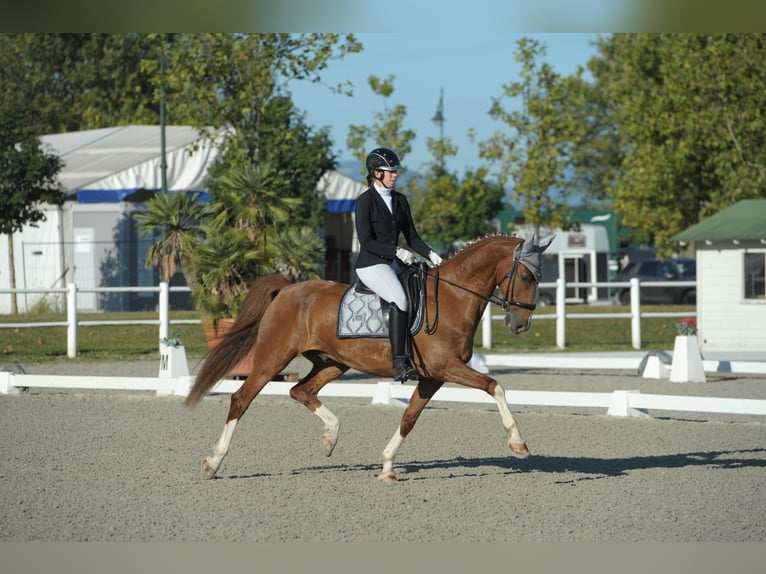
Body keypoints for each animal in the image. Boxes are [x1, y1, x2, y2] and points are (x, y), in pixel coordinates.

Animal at [186, 233, 553, 482]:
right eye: (525, 276)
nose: (520, 325)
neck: (452, 296)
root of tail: (287, 289)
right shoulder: (446, 367)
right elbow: (495, 386)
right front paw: (518, 443)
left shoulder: (432, 377)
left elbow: (409, 418)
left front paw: (387, 466)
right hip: (272, 358)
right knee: (241, 399)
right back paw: (213, 462)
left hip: (333, 362)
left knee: (300, 391)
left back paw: (330, 437)